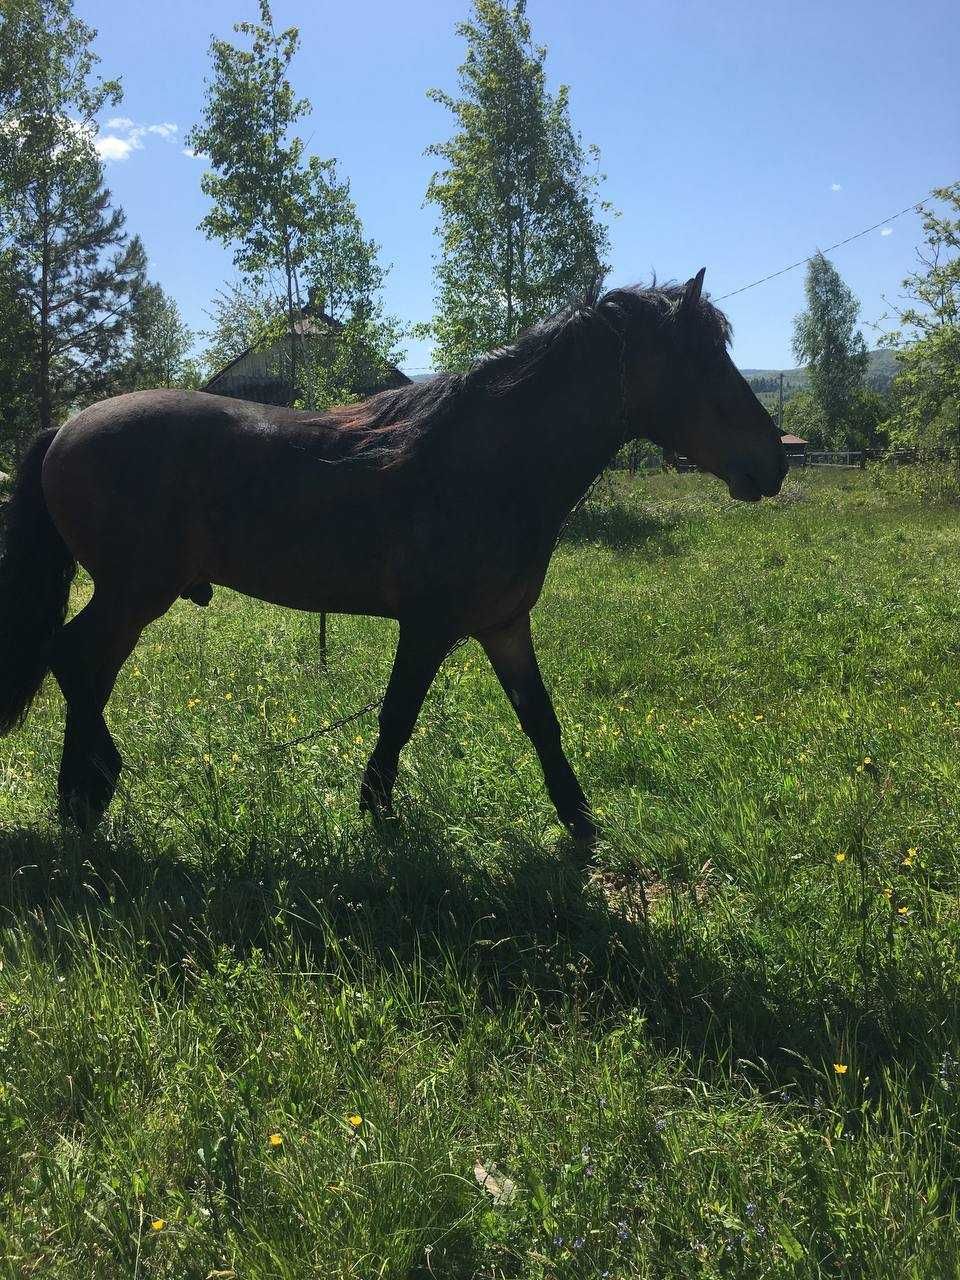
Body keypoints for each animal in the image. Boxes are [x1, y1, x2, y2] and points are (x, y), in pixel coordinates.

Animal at [0, 272, 783, 839]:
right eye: (704, 361)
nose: (773, 461)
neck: (490, 467)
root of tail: (64, 427)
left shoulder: (504, 626)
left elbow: (540, 720)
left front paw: (582, 824)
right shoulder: (430, 627)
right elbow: (398, 715)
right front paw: (376, 810)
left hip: (130, 596)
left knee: (83, 667)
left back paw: (81, 797)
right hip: (135, 592)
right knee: (73, 659)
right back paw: (94, 786)